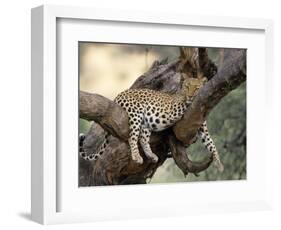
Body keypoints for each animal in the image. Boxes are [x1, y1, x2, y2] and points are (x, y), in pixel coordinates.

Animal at [79, 77, 223, 171]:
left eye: (197, 88)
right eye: (187, 87)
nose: (190, 96)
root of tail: (119, 95)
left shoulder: (202, 129)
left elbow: (211, 143)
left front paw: (219, 163)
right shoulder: (173, 108)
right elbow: (184, 104)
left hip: (146, 123)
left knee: (143, 139)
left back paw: (151, 155)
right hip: (135, 114)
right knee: (132, 137)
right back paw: (137, 157)